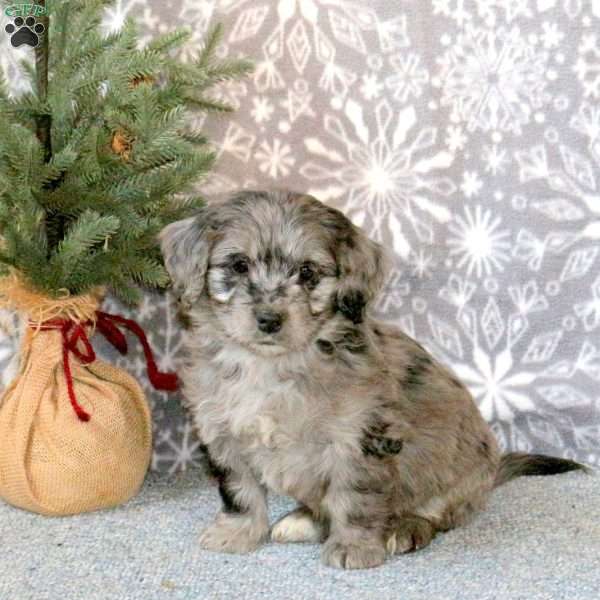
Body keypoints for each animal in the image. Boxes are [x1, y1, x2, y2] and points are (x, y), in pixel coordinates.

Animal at [159, 190, 584, 568]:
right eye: (239, 265)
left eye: (307, 273)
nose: (269, 319)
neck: (273, 365)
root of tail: (492, 472)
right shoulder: (221, 433)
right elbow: (239, 490)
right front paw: (238, 532)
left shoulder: (359, 437)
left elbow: (355, 496)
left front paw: (354, 547)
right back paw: (302, 521)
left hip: (460, 470)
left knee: (436, 512)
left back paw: (405, 527)